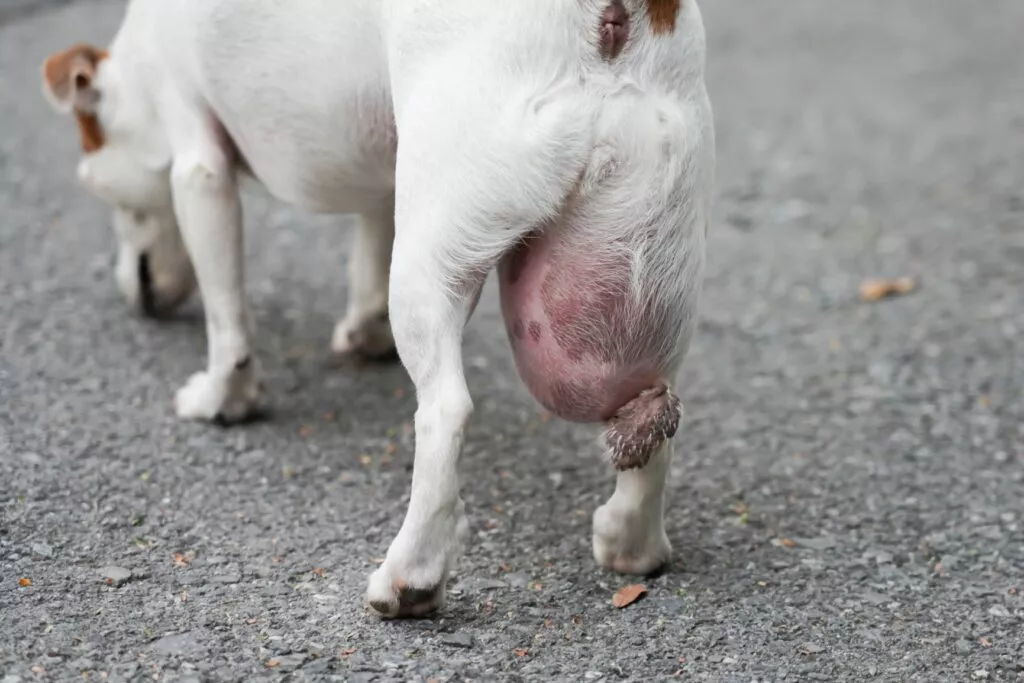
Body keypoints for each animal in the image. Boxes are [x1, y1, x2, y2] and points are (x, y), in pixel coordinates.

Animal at [39, 0, 712, 618]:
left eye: (93, 178)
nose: (129, 291)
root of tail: (614, 18)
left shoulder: (198, 165)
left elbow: (227, 317)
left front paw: (223, 400)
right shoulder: (386, 171)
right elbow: (369, 238)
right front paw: (362, 334)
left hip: (429, 266)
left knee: (445, 412)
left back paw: (411, 577)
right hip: (646, 281)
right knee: (654, 408)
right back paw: (632, 544)